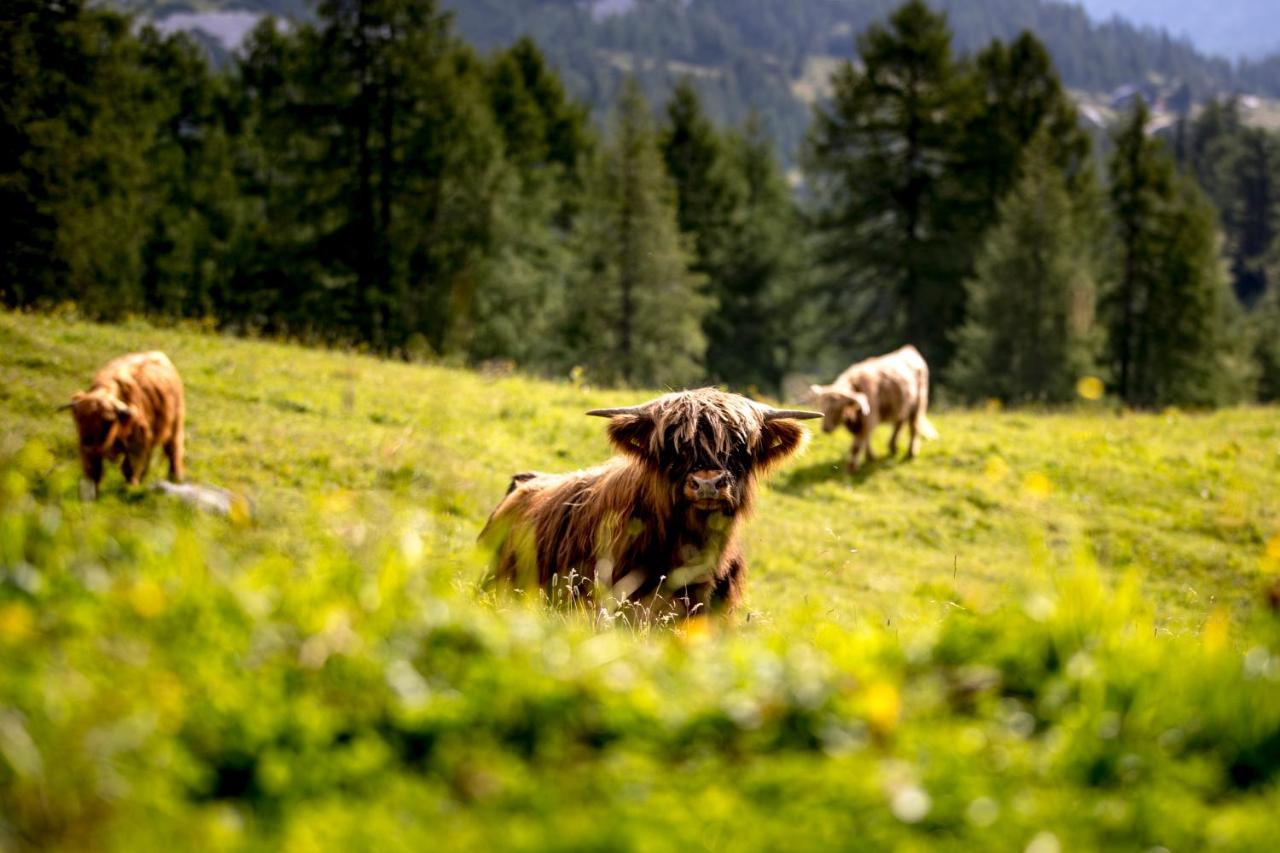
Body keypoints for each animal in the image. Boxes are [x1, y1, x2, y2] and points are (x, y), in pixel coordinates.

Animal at [63, 348, 184, 494]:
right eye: (79, 417)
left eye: (107, 420)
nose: (88, 443)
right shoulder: (89, 453)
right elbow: (93, 472)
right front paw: (92, 494)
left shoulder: (137, 443)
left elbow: (129, 468)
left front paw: (131, 488)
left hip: (175, 425)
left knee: (173, 451)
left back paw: (175, 478)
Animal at [814, 343, 936, 471]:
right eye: (821, 406)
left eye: (838, 408)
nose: (825, 428)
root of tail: (909, 349)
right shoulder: (863, 423)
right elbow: (866, 440)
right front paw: (870, 458)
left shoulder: (869, 420)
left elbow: (856, 446)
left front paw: (851, 468)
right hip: (902, 407)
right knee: (899, 424)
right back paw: (892, 448)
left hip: (918, 404)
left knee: (913, 427)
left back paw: (911, 453)